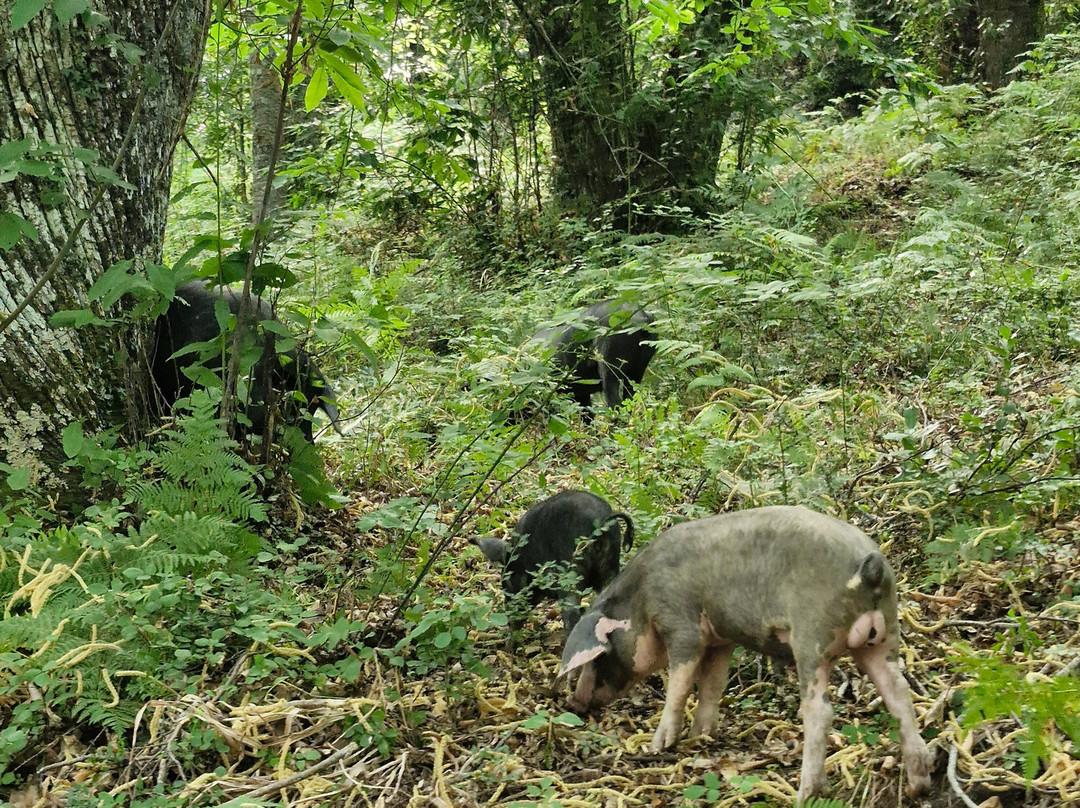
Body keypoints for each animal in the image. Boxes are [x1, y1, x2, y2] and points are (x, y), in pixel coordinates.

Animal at [473, 488, 630, 639]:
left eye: (507, 584)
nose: (509, 621)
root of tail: (599, 525)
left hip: (571, 576)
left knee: (572, 616)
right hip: (609, 569)